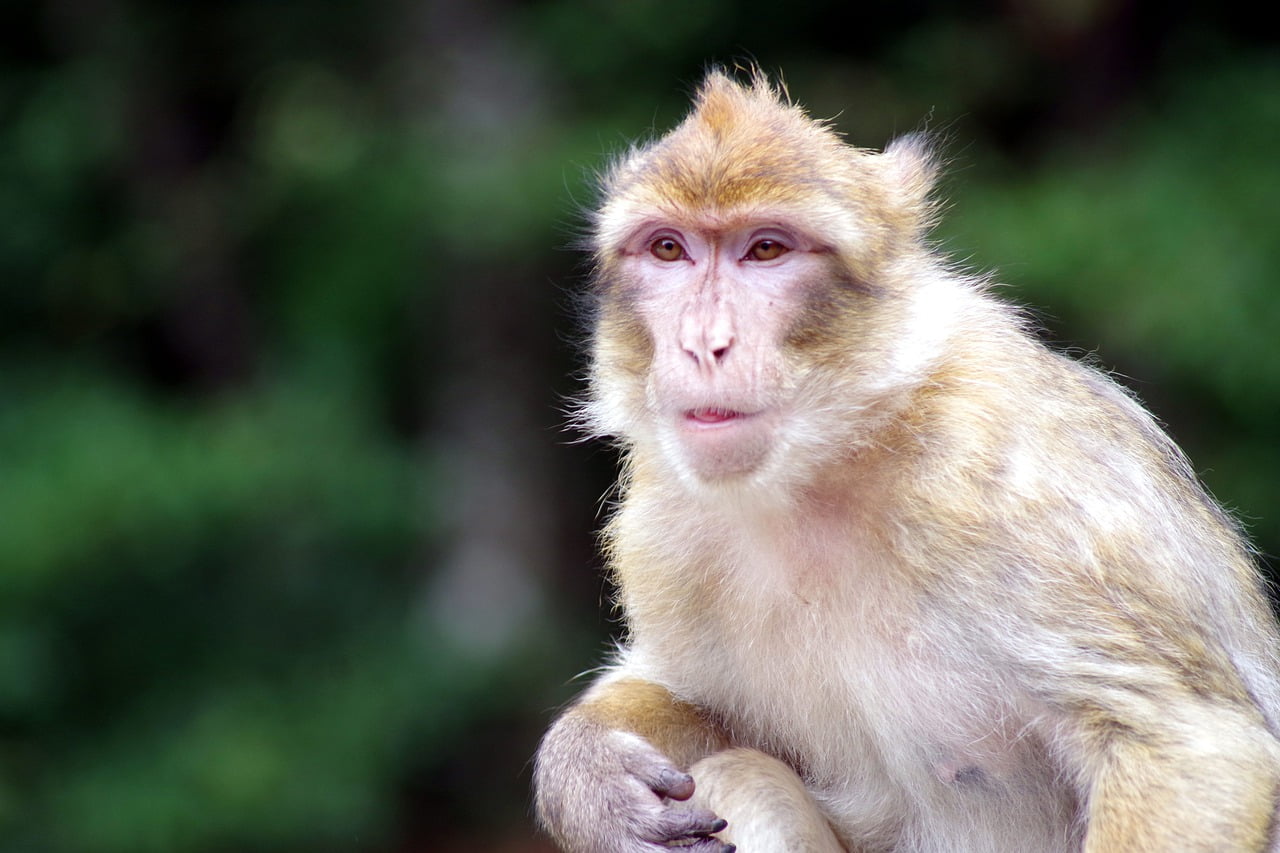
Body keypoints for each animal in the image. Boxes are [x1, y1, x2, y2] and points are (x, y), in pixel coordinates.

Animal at [533, 68, 1280, 852]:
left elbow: (1187, 746)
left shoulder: (1012, 491)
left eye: (765, 250)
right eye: (668, 250)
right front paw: (587, 771)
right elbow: (695, 702)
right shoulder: (663, 530)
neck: (832, 460)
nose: (703, 343)